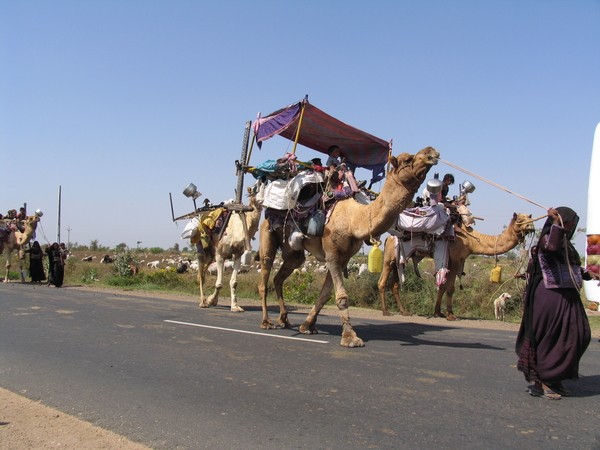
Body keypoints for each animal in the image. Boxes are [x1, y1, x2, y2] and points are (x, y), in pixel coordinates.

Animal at [255, 146, 438, 346]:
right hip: (267, 233)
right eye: (407, 160)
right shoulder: (332, 254)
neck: (354, 219)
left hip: (293, 253)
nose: (431, 152)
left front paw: (307, 326)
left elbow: (325, 294)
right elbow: (341, 297)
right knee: (264, 276)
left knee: (280, 276)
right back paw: (266, 322)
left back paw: (284, 319)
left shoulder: (343, 258)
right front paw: (350, 337)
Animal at [378, 212, 536, 320]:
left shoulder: (448, 260)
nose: (531, 226)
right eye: (520, 220)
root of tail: (387, 238)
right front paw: (451, 314)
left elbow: (442, 287)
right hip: (389, 258)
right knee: (382, 282)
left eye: (530, 217)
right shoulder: (455, 260)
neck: (472, 240)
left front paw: (438, 312)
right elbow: (450, 288)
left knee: (394, 284)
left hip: (399, 260)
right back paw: (385, 311)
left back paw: (404, 311)